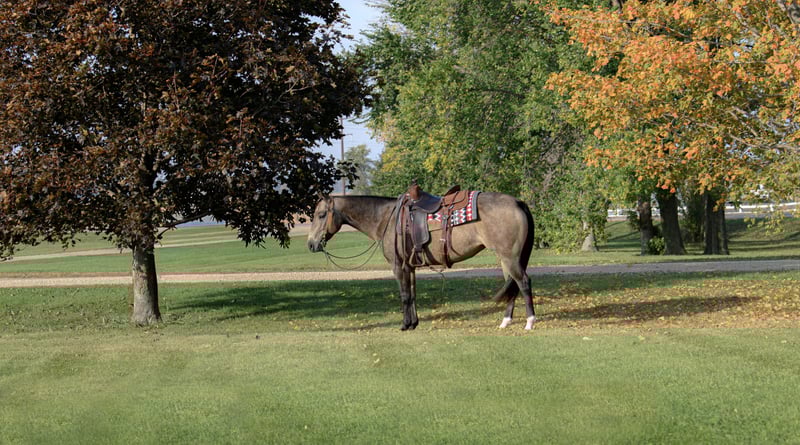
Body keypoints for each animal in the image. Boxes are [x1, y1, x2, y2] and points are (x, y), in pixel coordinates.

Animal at [306, 193, 536, 330]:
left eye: (321, 215)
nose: (310, 244)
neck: (386, 219)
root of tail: (518, 202)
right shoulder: (410, 267)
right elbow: (413, 295)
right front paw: (414, 323)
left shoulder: (398, 267)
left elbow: (404, 295)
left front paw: (405, 325)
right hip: (506, 259)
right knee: (512, 286)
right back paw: (505, 321)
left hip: (510, 257)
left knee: (523, 283)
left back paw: (530, 322)